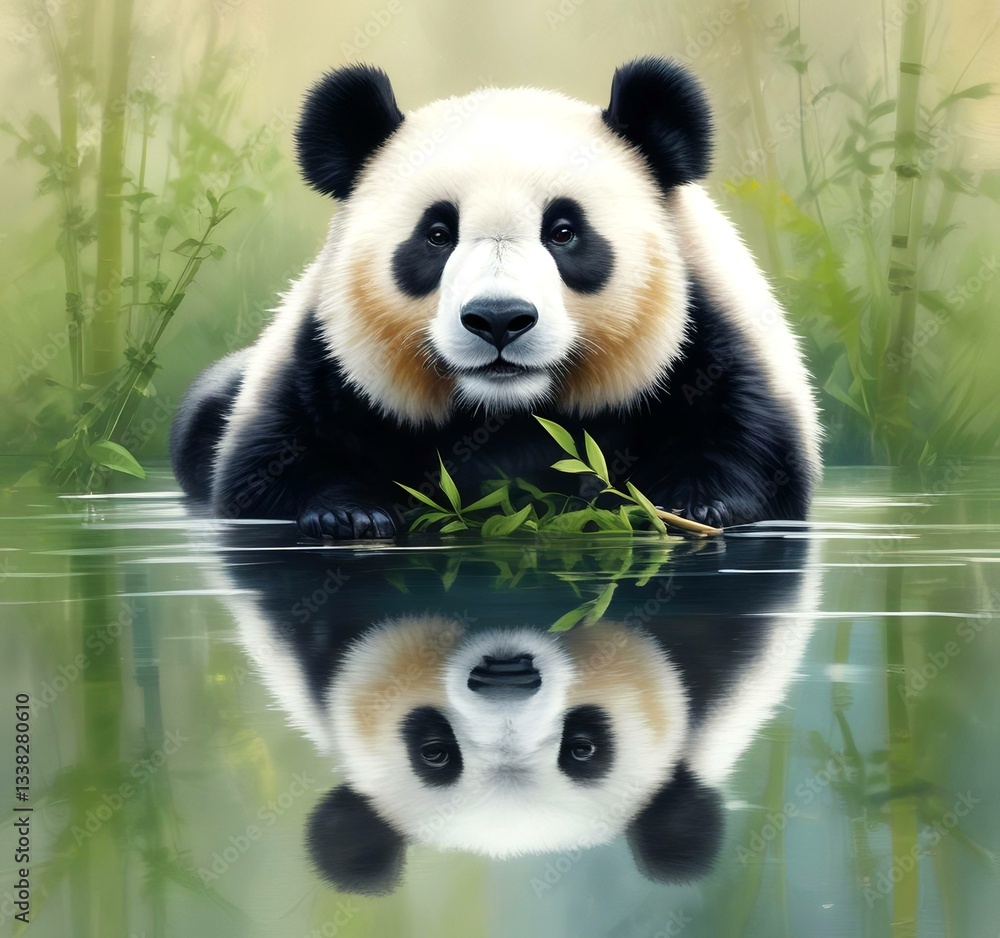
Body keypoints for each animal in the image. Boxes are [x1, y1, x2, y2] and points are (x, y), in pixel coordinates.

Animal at [170, 57, 821, 538]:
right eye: (437, 234)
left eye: (564, 231)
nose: (499, 320)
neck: (508, 413)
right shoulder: (322, 360)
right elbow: (269, 467)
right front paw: (349, 513)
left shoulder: (712, 340)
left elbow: (745, 442)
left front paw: (688, 506)